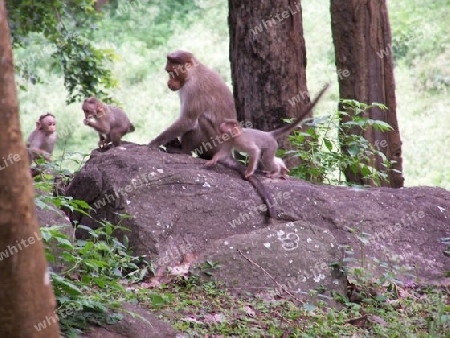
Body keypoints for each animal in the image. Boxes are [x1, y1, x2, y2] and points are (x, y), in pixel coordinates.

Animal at [148, 50, 278, 219]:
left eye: (171, 72)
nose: (169, 83)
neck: (194, 71)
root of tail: (228, 152)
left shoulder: (192, 87)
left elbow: (188, 121)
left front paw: (154, 143)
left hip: (214, 143)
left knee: (200, 120)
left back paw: (183, 152)